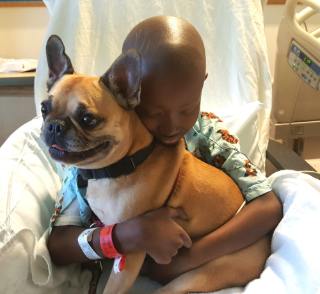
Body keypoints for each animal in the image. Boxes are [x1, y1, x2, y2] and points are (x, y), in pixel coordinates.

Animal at [40, 36, 270, 294]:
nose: (54, 126)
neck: (125, 163)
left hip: (204, 271)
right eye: (43, 109)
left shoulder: (130, 255)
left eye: (88, 119)